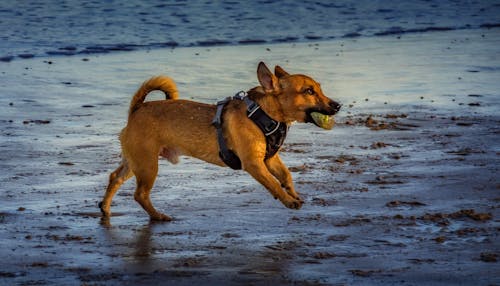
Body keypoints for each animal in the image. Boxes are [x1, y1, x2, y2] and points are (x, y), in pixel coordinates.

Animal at [98, 62, 340, 221]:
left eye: (318, 88)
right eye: (308, 91)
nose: (337, 105)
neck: (263, 114)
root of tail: (137, 108)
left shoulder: (270, 159)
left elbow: (286, 176)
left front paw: (293, 193)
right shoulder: (255, 164)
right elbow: (272, 183)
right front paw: (288, 200)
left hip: (136, 163)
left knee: (115, 178)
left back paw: (106, 208)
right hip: (148, 166)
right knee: (140, 195)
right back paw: (158, 216)